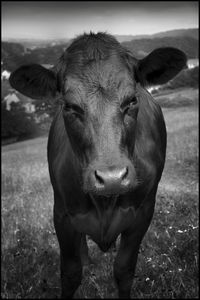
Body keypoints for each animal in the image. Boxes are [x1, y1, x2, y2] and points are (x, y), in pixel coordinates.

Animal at [9, 32, 186, 298]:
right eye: (69, 106)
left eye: (132, 100)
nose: (112, 178)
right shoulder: (62, 214)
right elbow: (70, 273)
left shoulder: (143, 213)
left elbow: (124, 270)